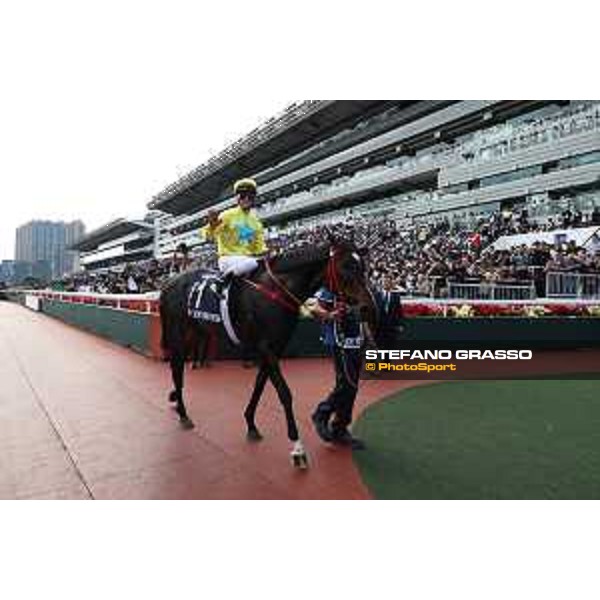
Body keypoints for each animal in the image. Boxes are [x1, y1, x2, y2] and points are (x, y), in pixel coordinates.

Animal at [159, 239, 376, 468]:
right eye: (345, 268)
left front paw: (251, 424)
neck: (276, 291)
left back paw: (177, 401)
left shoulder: (273, 350)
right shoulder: (267, 349)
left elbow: (259, 386)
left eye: (363, 267)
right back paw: (183, 414)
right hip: (178, 335)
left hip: (196, 331)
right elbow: (284, 393)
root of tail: (169, 282)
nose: (367, 307)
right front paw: (297, 448)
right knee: (177, 370)